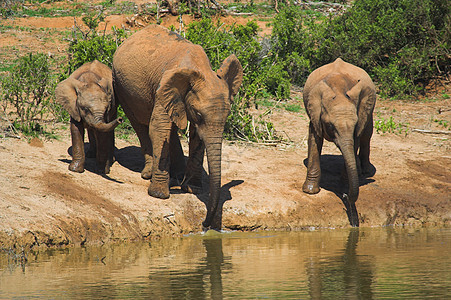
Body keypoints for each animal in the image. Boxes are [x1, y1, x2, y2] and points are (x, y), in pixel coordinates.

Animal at [112, 24, 244, 230]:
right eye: (198, 114)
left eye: (228, 115)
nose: (205, 225)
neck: (201, 69)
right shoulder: (164, 87)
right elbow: (158, 128)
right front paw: (159, 195)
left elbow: (197, 136)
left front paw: (192, 189)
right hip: (121, 85)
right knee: (140, 124)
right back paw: (148, 174)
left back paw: (176, 175)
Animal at [304, 57, 378, 225]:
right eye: (331, 126)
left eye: (354, 124)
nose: (346, 196)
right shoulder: (315, 113)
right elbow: (314, 139)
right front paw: (310, 191)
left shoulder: (359, 116)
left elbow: (355, 140)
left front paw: (345, 185)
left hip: (368, 109)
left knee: (366, 135)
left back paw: (364, 170)